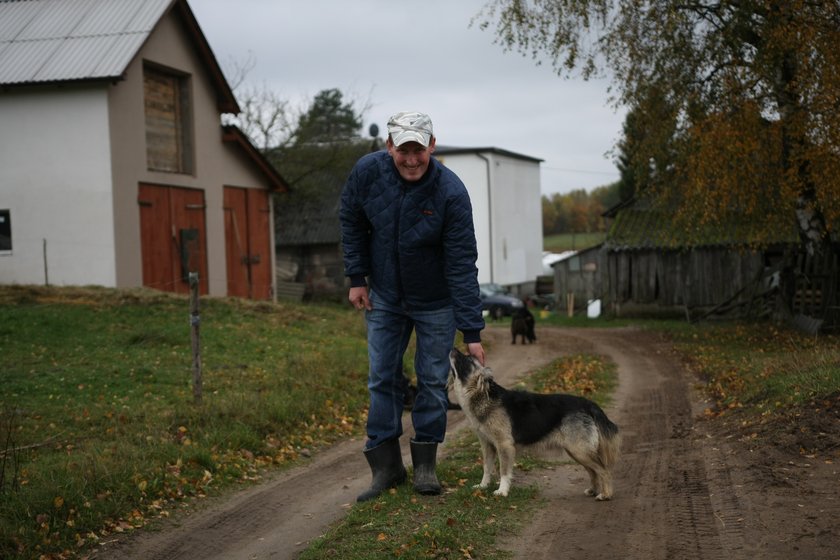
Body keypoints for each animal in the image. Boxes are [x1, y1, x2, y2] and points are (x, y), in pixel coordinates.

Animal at [450, 350, 620, 498]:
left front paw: (502, 491)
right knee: (593, 471)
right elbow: (487, 468)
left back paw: (605, 494)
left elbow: (503, 471)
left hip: (579, 450)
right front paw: (483, 486)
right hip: (577, 452)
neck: (482, 395)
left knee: (604, 470)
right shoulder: (487, 444)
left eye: (467, 360)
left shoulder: (504, 445)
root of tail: (587, 404)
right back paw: (593, 490)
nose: (453, 349)